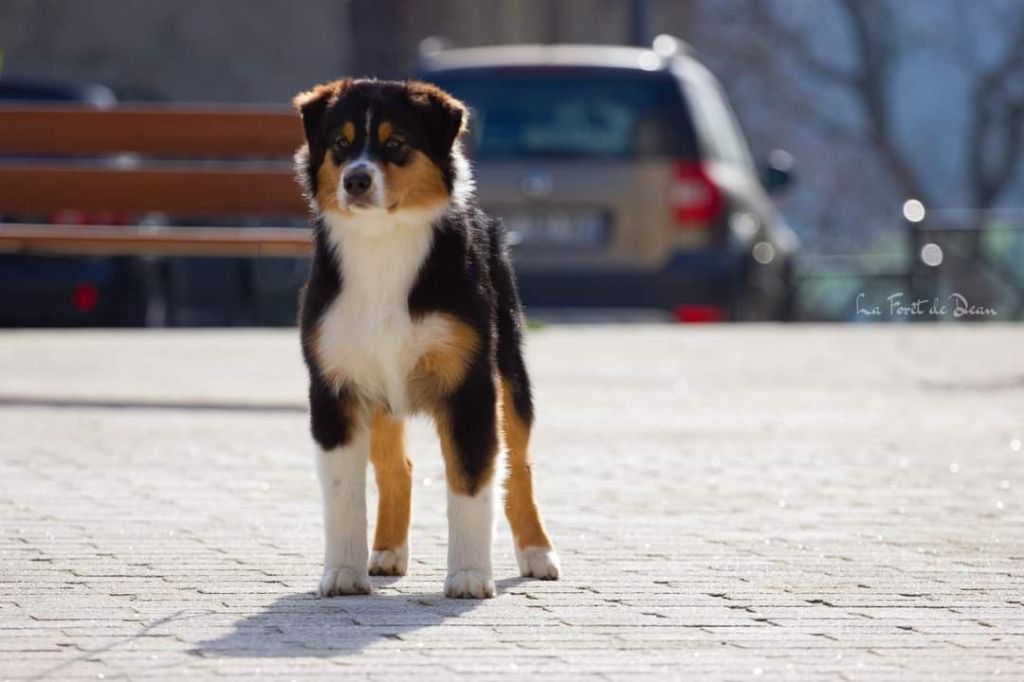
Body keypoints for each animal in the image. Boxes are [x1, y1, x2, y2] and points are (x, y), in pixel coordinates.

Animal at [292, 78, 565, 593]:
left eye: (396, 143)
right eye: (340, 144)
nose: (356, 180)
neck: (383, 246)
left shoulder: (471, 386)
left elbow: (472, 484)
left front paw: (470, 575)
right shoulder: (336, 386)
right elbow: (342, 494)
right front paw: (342, 573)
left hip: (511, 372)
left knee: (519, 466)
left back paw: (538, 553)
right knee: (396, 467)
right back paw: (385, 554)